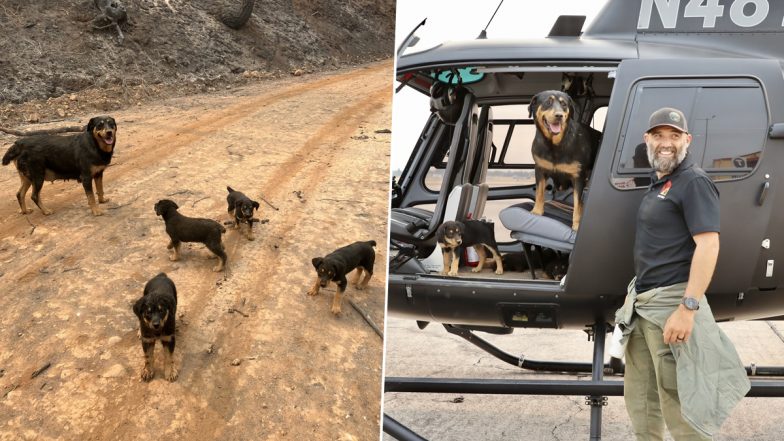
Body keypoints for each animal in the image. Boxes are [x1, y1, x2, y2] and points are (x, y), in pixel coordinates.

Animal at [528, 90, 604, 230]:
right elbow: (540, 192)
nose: (559, 115)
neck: (555, 144)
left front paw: (577, 224)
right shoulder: (540, 169)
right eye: (548, 102)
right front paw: (537, 211)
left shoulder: (578, 177)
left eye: (564, 104)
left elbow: (577, 204)